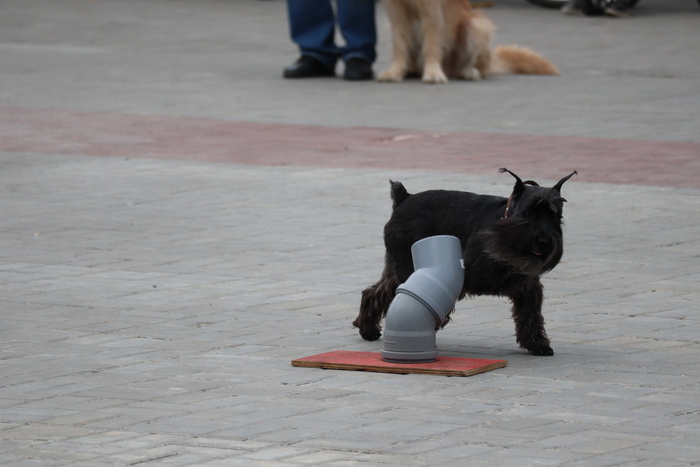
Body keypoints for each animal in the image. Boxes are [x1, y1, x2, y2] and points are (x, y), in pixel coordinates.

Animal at [353, 168, 577, 356]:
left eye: (556, 216)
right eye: (529, 212)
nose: (544, 240)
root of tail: (404, 198)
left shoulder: (528, 287)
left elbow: (530, 315)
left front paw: (537, 344)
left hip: (396, 267)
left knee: (374, 292)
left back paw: (368, 329)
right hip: (406, 267)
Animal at [378, 0, 560, 83]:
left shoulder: (431, 8)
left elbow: (431, 43)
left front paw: (433, 72)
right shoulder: (395, 8)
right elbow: (400, 43)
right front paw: (395, 71)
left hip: (477, 25)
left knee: (478, 67)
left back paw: (469, 71)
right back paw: (409, 69)